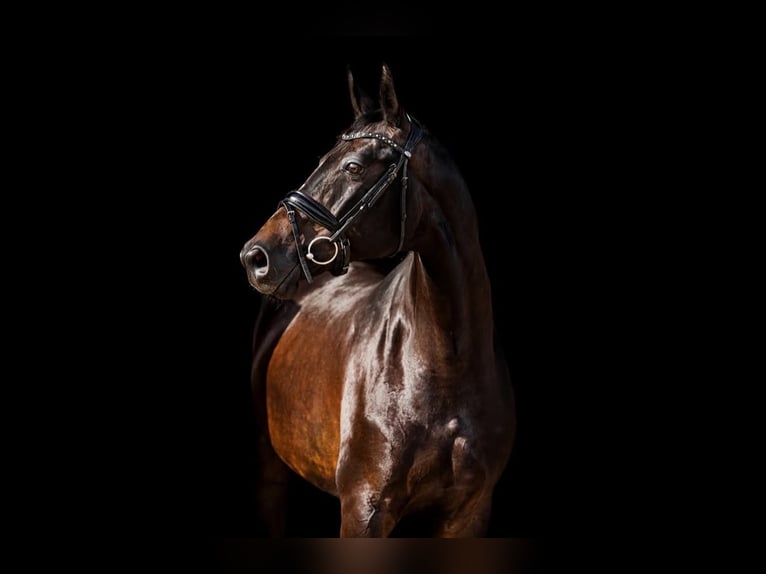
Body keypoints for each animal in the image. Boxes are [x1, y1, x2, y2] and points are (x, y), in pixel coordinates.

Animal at [239, 64, 516, 537]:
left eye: (353, 166)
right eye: (320, 162)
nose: (256, 256)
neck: (444, 362)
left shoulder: (469, 513)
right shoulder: (364, 509)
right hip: (269, 469)